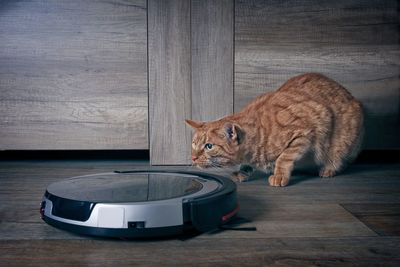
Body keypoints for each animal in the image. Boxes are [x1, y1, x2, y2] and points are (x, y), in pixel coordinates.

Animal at [186, 72, 364, 187]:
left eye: (209, 146)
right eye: (194, 144)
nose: (193, 157)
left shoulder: (304, 131)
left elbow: (283, 158)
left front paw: (279, 175)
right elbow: (246, 165)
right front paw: (242, 172)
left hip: (342, 142)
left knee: (339, 159)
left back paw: (328, 169)